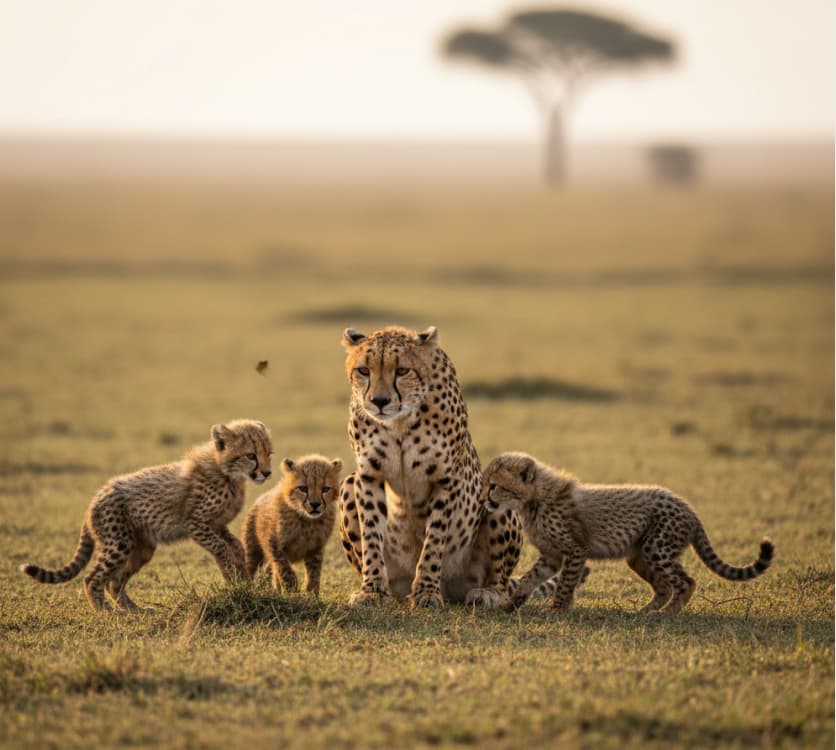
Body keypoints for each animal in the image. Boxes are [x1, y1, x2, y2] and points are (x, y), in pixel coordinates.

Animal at [20, 420, 273, 612]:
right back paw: (107, 611)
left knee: (114, 582)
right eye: (251, 455)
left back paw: (134, 610)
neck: (228, 475)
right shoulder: (195, 524)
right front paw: (232, 574)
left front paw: (241, 574)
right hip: (119, 543)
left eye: (269, 454)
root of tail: (95, 498)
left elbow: (235, 544)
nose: (267, 472)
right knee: (92, 578)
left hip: (141, 548)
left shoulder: (217, 525)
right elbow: (220, 547)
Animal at [242, 454, 343, 594]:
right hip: (252, 549)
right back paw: (247, 587)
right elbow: (284, 569)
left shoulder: (315, 548)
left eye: (325, 489)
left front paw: (311, 593)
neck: (307, 521)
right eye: (303, 488)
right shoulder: (274, 545)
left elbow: (314, 573)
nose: (315, 504)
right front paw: (292, 589)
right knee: (250, 567)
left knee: (268, 568)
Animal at [338, 325, 522, 609]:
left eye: (403, 370)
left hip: (496, 502)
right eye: (363, 371)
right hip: (348, 484)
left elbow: (434, 540)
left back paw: (487, 593)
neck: (400, 421)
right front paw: (373, 591)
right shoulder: (369, 475)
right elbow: (371, 535)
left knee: (501, 582)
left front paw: (426, 591)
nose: (379, 401)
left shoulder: (446, 479)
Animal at [482, 451, 774, 616]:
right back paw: (645, 610)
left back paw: (667, 614)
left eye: (494, 485)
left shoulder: (576, 550)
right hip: (639, 556)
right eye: (485, 483)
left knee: (686, 581)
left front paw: (556, 610)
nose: (484, 498)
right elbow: (529, 578)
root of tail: (688, 508)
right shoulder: (552, 555)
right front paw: (512, 603)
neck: (533, 499)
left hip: (657, 547)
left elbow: (565, 583)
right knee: (664, 586)